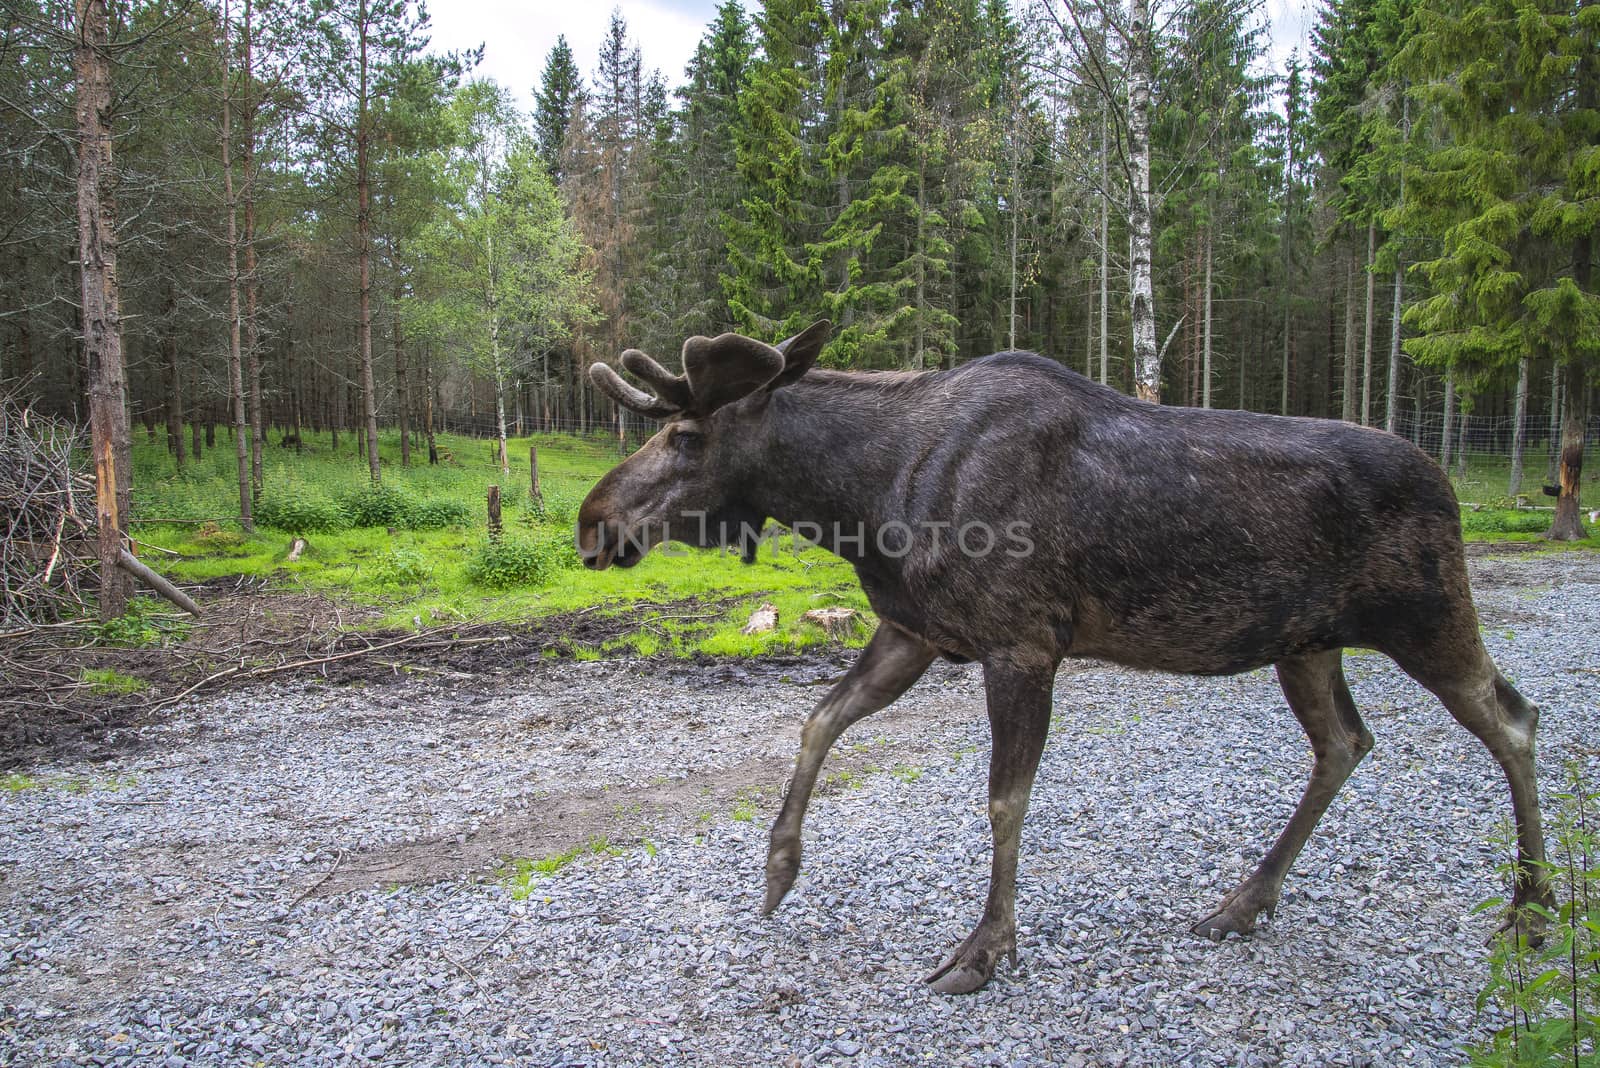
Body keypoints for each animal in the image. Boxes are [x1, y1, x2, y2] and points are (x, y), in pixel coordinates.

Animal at [579, 321, 1548, 997]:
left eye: (687, 439)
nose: (593, 521)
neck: (863, 497)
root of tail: (1449, 483)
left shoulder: (1022, 643)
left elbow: (1005, 800)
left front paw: (984, 949)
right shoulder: (919, 633)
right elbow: (819, 720)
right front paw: (780, 869)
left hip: (1428, 616)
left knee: (1513, 719)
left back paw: (1531, 909)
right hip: (1306, 644)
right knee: (1346, 743)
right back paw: (1244, 901)